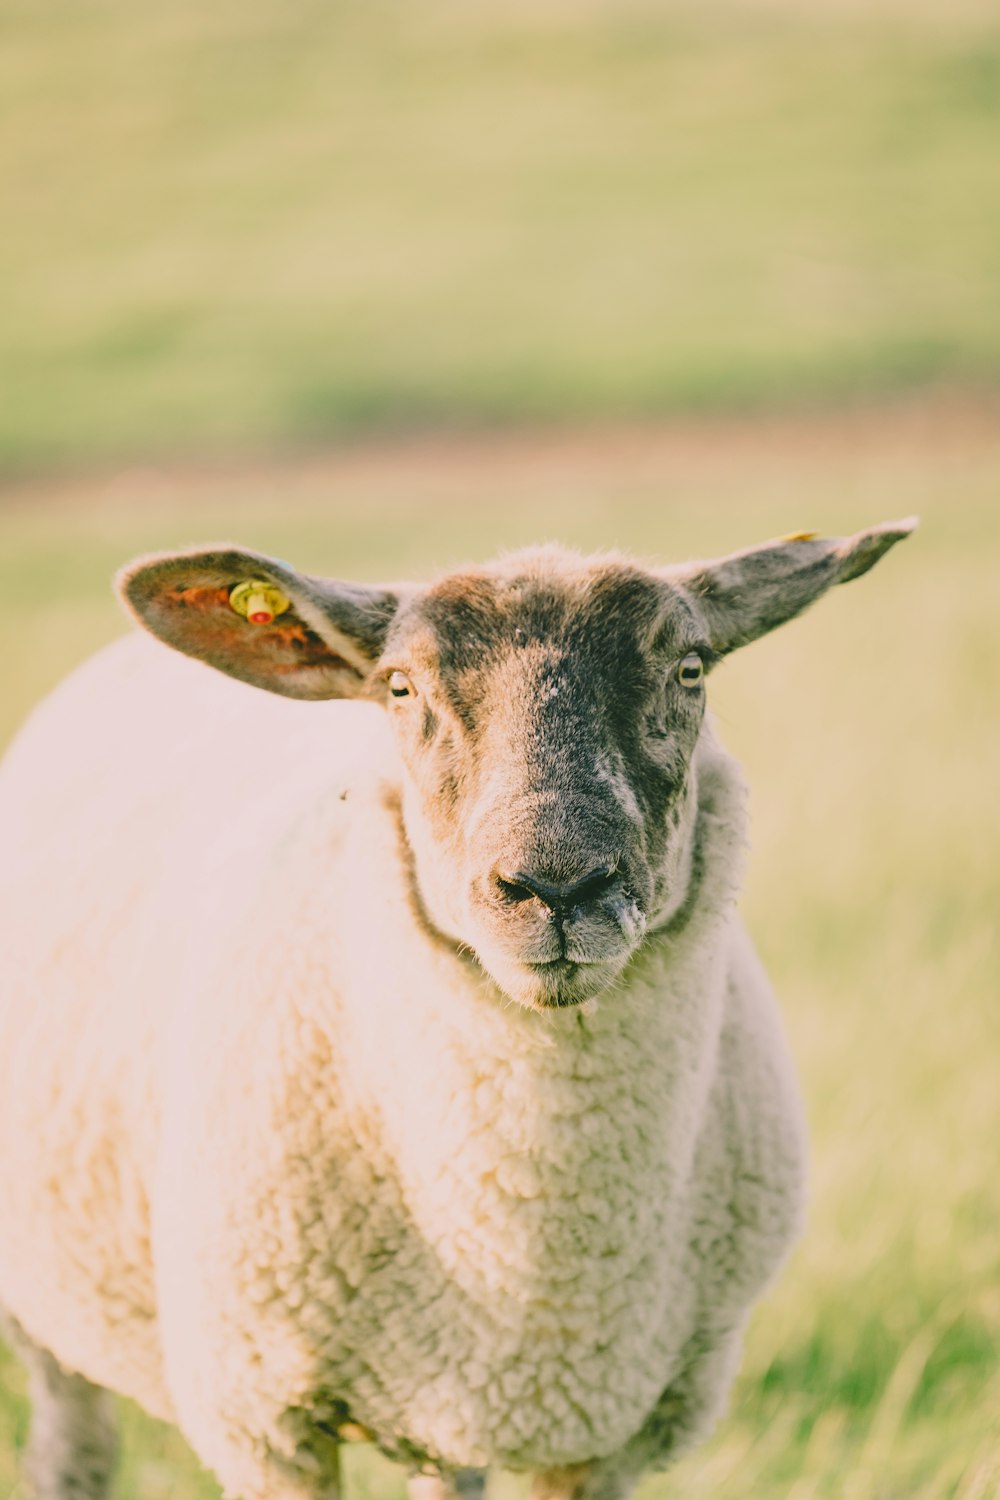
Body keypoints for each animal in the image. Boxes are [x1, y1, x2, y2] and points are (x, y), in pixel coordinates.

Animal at [0, 519, 917, 1500]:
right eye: (401, 687)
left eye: (690, 668)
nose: (558, 884)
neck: (526, 1243)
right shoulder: (264, 1420)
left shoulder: (601, 1430)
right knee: (71, 1447)